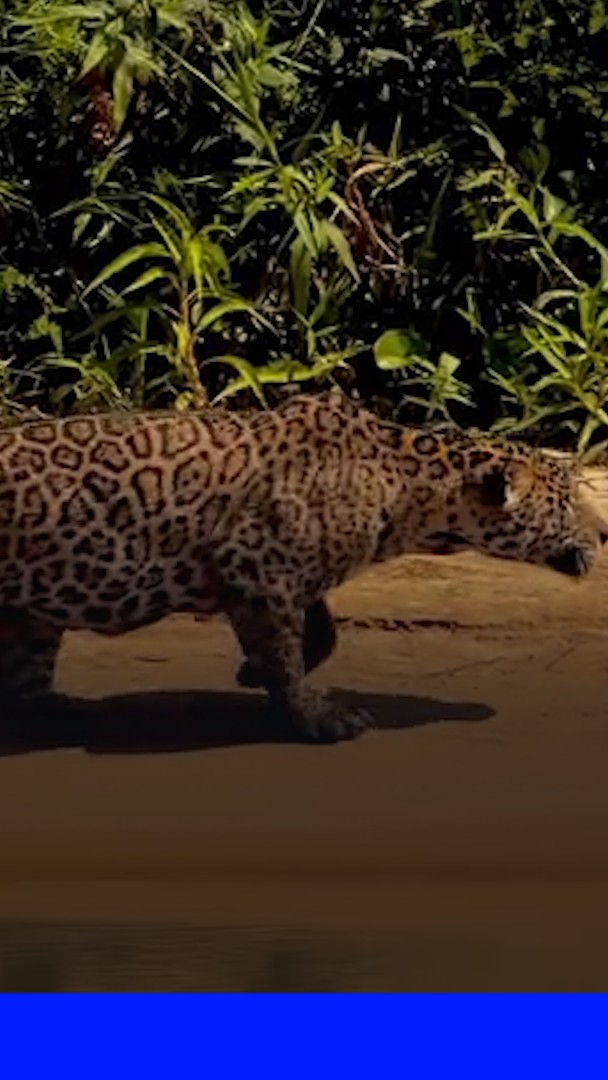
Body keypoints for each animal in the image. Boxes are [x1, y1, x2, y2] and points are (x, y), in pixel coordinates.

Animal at [0, 390, 605, 742]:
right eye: (567, 500)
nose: (604, 532)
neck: (406, 486)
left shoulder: (293, 575)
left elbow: (321, 633)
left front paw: (254, 673)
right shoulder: (257, 568)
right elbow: (288, 653)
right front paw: (314, 717)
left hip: (31, 611)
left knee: (29, 671)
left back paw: (54, 709)